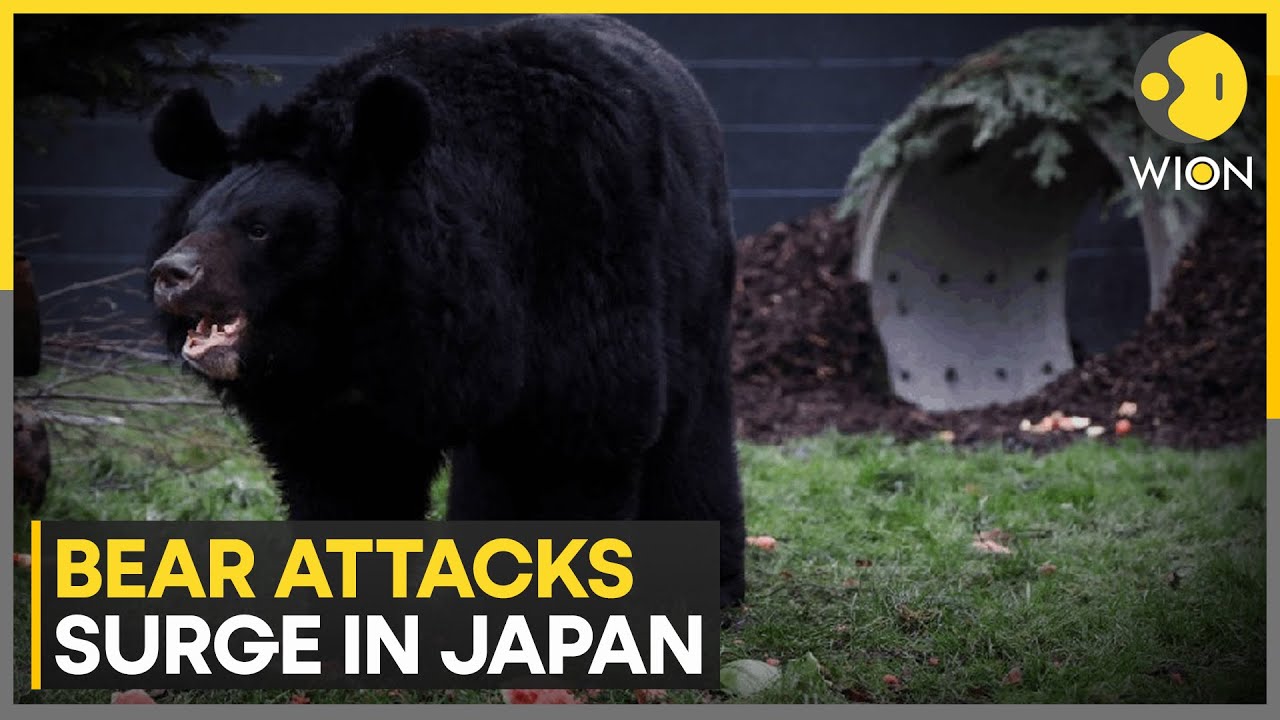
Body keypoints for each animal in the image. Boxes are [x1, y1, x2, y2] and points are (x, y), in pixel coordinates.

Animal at [145, 14, 746, 608]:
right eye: (195, 220)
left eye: (259, 229)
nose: (171, 274)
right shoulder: (337, 391)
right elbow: (349, 476)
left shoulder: (576, 261)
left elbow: (579, 437)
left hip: (693, 283)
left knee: (691, 424)